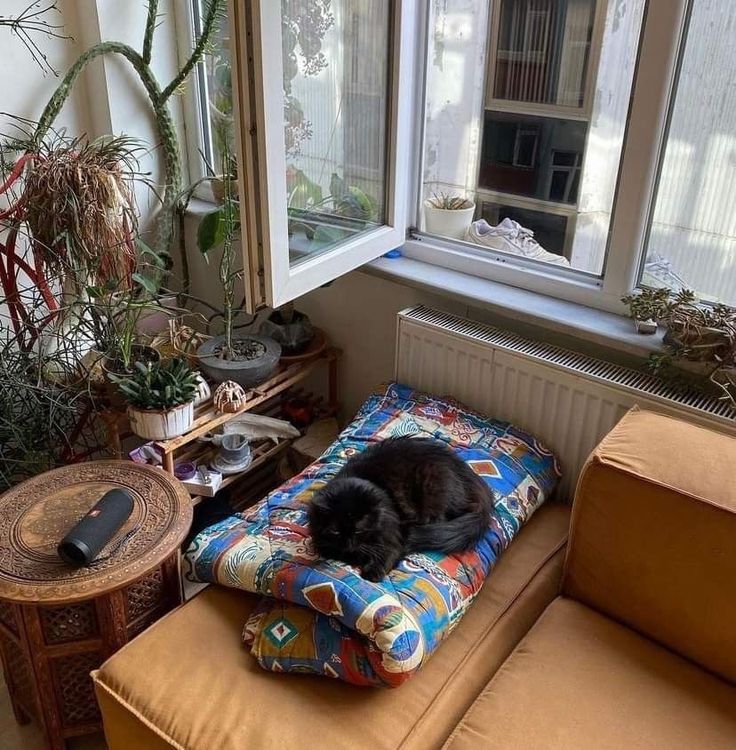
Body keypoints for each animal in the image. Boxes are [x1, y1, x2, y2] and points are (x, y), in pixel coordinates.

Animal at [308, 438, 492, 584]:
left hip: (431, 487)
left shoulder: (393, 536)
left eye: (359, 530)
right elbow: (330, 550)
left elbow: (388, 552)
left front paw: (371, 572)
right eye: (335, 531)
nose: (347, 544)